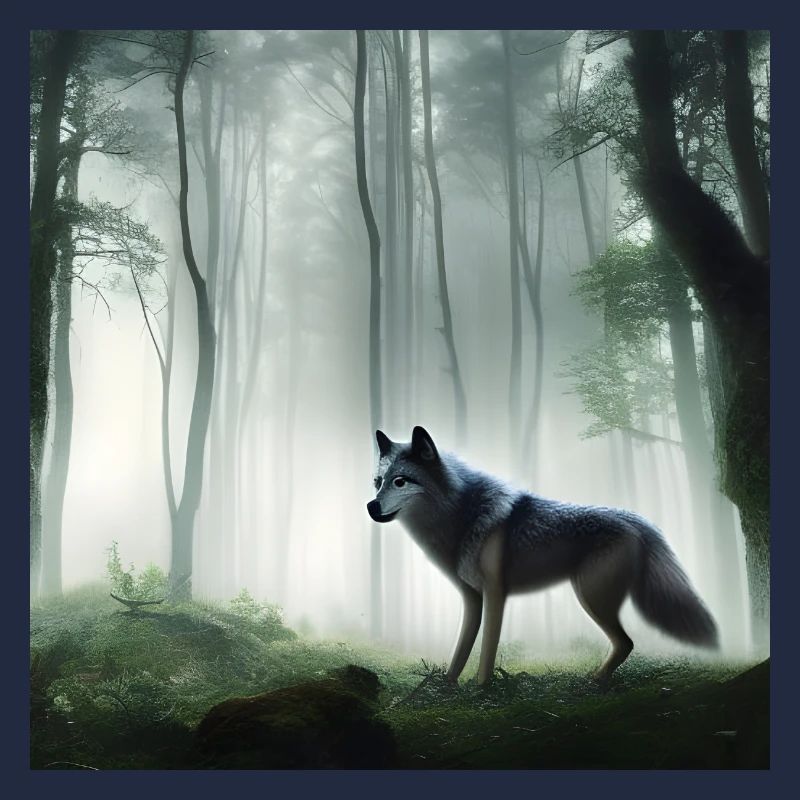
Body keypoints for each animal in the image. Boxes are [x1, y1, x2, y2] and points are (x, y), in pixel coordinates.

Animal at [367, 426, 718, 685]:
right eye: (378, 482)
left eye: (401, 481)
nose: (371, 506)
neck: (461, 515)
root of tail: (637, 520)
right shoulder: (472, 598)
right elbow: (461, 648)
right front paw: (448, 686)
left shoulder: (496, 594)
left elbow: (487, 648)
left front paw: (481, 689)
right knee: (624, 643)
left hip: (590, 596)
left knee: (626, 642)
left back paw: (595, 681)